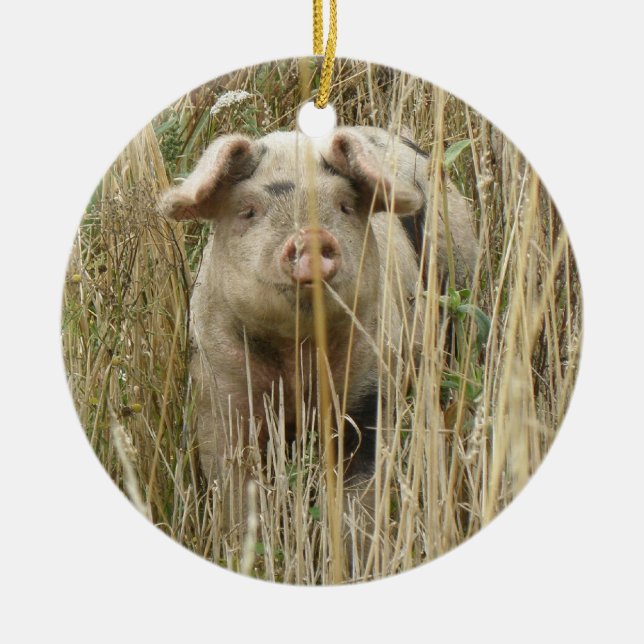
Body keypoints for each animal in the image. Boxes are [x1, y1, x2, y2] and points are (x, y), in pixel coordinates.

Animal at [159, 125, 477, 545]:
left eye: (344, 205)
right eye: (248, 210)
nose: (310, 235)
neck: (297, 354)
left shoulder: (371, 385)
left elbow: (360, 496)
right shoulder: (218, 389)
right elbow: (235, 489)